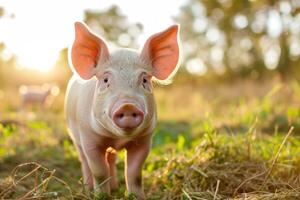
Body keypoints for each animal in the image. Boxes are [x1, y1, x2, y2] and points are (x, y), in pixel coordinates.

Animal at [64, 22, 179, 198]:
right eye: (106, 80)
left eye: (144, 80)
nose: (128, 105)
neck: (117, 138)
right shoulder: (88, 137)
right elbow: (99, 171)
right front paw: (102, 197)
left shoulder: (145, 139)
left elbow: (134, 173)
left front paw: (137, 197)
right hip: (75, 137)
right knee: (84, 160)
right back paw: (89, 188)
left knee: (110, 159)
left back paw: (114, 187)